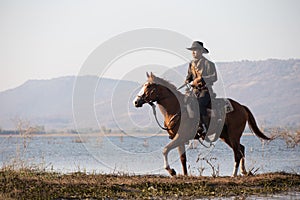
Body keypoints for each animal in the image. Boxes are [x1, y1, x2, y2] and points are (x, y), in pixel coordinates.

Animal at [134, 72, 270, 176]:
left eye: (148, 86)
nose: (136, 101)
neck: (177, 108)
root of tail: (241, 107)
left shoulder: (180, 137)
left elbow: (165, 150)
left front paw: (171, 171)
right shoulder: (178, 138)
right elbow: (182, 158)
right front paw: (185, 175)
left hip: (234, 134)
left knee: (237, 153)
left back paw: (234, 174)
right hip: (225, 135)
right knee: (241, 149)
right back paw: (244, 171)